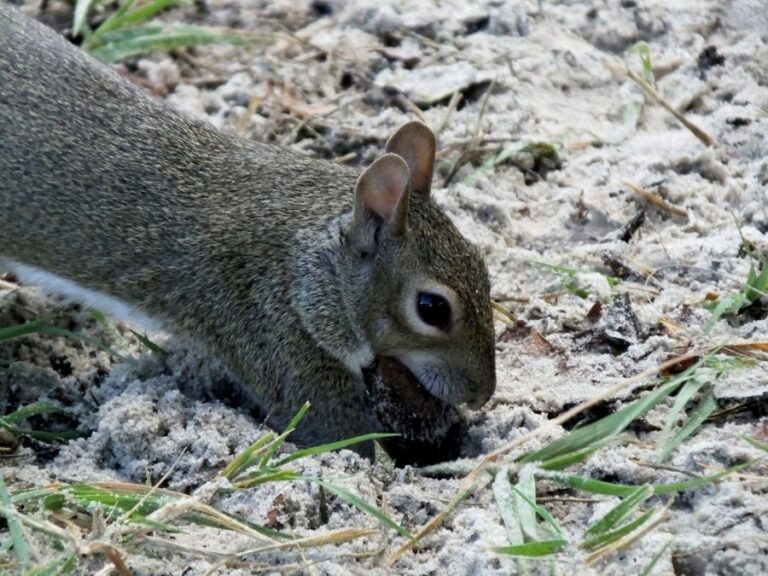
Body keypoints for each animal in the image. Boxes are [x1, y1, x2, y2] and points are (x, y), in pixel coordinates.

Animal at [0, 4, 496, 463]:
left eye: (483, 265)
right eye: (431, 308)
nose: (482, 394)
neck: (307, 265)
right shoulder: (268, 331)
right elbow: (336, 429)